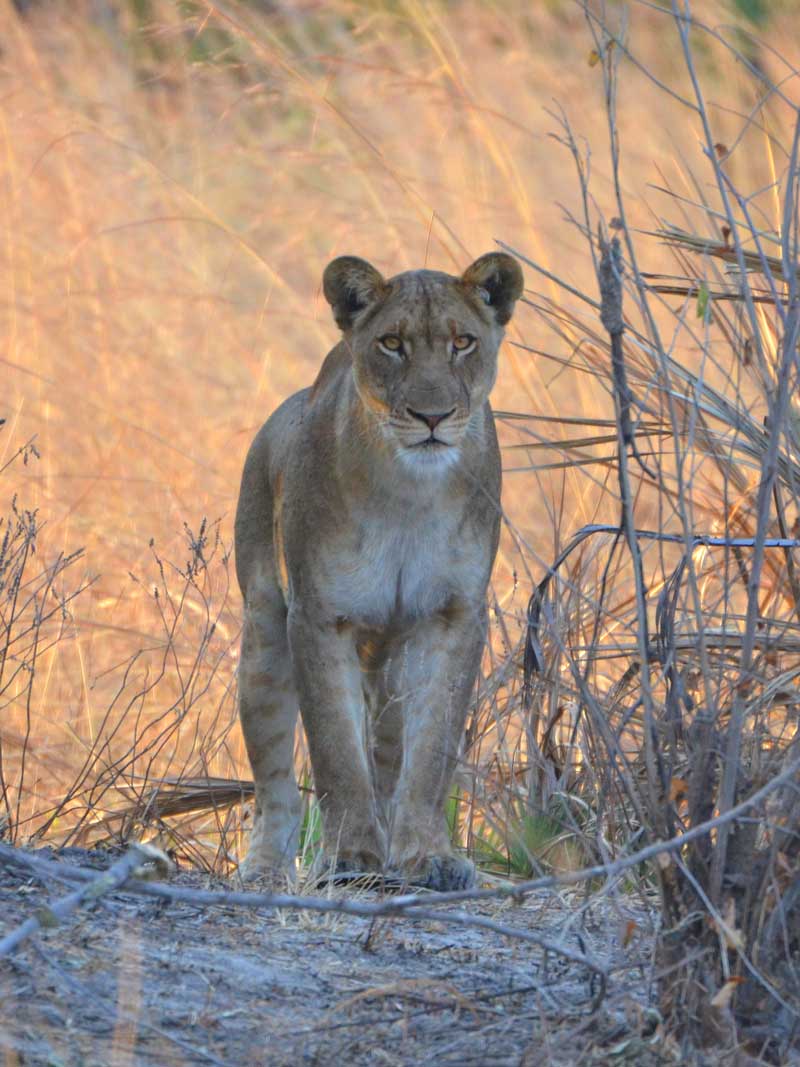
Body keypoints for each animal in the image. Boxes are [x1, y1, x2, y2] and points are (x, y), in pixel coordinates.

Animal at [234, 251, 523, 890]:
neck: (408, 493)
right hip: (263, 637)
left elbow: (433, 749)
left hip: (393, 664)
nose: (432, 416)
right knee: (275, 784)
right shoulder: (318, 617)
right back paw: (265, 869)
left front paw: (429, 856)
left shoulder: (454, 616)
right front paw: (347, 857)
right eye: (392, 343)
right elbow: (336, 750)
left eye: (463, 342)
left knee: (390, 754)